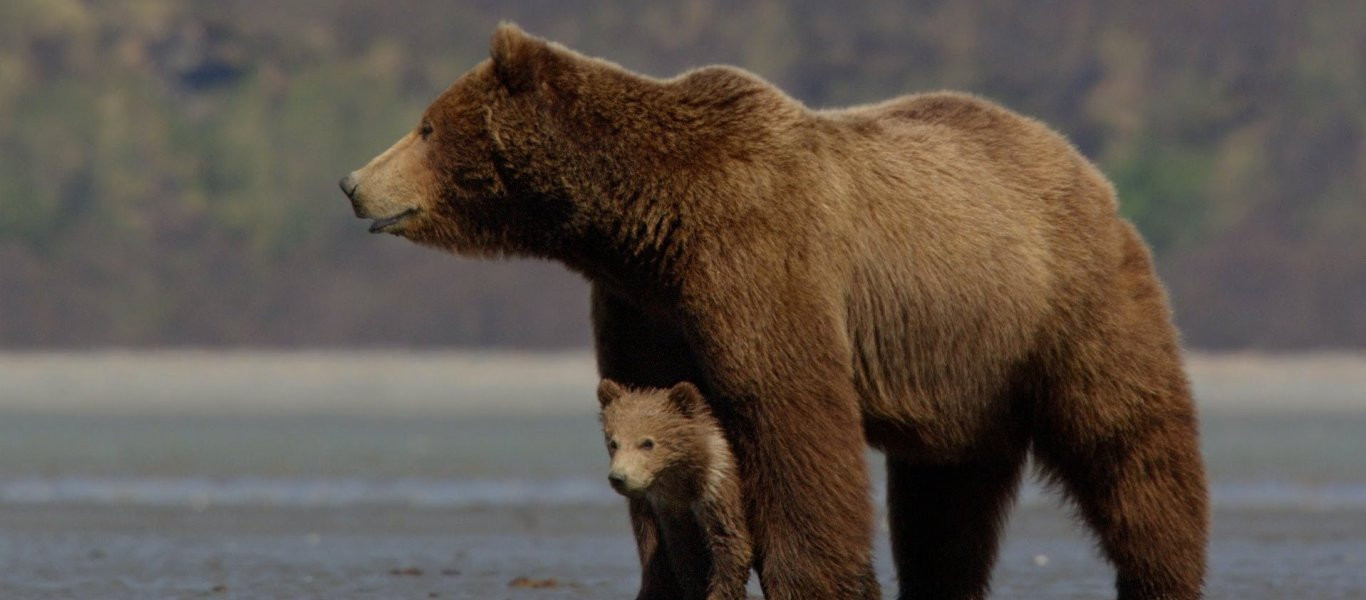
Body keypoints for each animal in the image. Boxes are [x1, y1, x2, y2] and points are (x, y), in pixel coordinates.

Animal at [338, 23, 1207, 600]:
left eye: (426, 125)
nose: (352, 182)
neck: (646, 223)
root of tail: (1083, 164)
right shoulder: (644, 304)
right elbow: (653, 416)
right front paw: (665, 569)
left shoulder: (759, 261)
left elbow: (791, 418)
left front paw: (819, 579)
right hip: (960, 367)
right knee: (947, 497)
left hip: (1065, 303)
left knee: (1129, 441)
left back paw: (1163, 571)